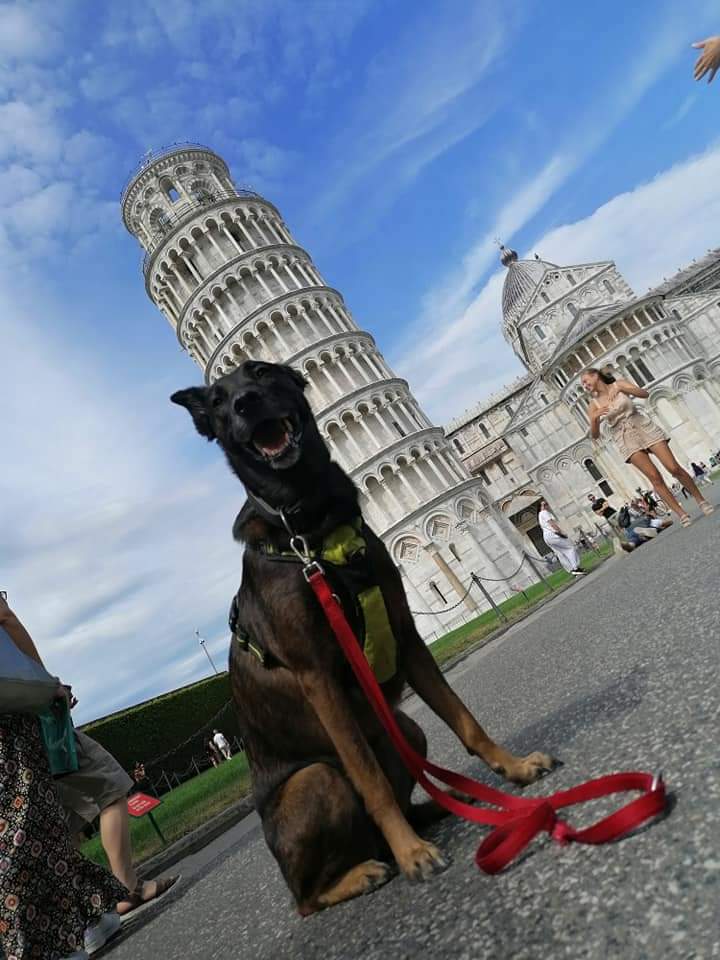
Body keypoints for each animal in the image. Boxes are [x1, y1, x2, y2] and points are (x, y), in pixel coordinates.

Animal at [172, 360, 554, 915]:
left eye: (261, 373)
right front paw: (412, 854)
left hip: (405, 729)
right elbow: (369, 780)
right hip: (316, 779)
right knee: (309, 895)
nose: (245, 403)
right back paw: (369, 868)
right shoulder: (317, 676)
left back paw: (444, 807)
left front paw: (515, 768)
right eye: (219, 400)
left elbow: (466, 720)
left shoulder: (407, 635)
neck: (311, 522)